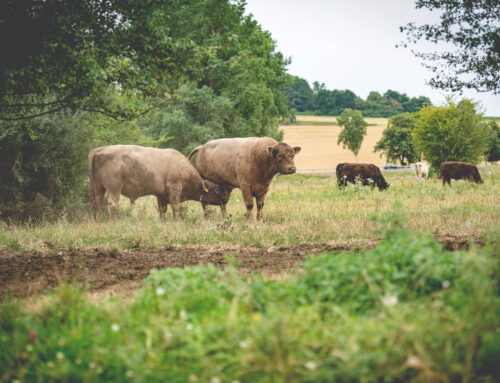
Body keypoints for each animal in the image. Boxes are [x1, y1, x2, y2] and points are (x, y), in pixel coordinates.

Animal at [88, 145, 225, 222]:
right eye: (217, 189)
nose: (223, 201)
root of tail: (99, 150)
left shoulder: (161, 194)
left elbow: (162, 210)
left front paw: (163, 221)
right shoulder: (174, 188)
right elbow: (175, 207)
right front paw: (177, 221)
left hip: (98, 188)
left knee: (97, 204)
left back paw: (97, 221)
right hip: (114, 188)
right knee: (112, 205)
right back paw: (113, 222)